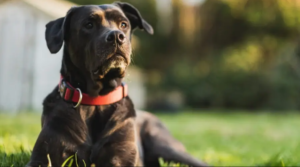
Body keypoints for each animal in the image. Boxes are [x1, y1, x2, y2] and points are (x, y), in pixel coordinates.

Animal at [27, 1, 210, 167]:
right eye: (89, 24)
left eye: (123, 24)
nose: (116, 36)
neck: (96, 101)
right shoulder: (44, 155)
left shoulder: (122, 156)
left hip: (166, 148)